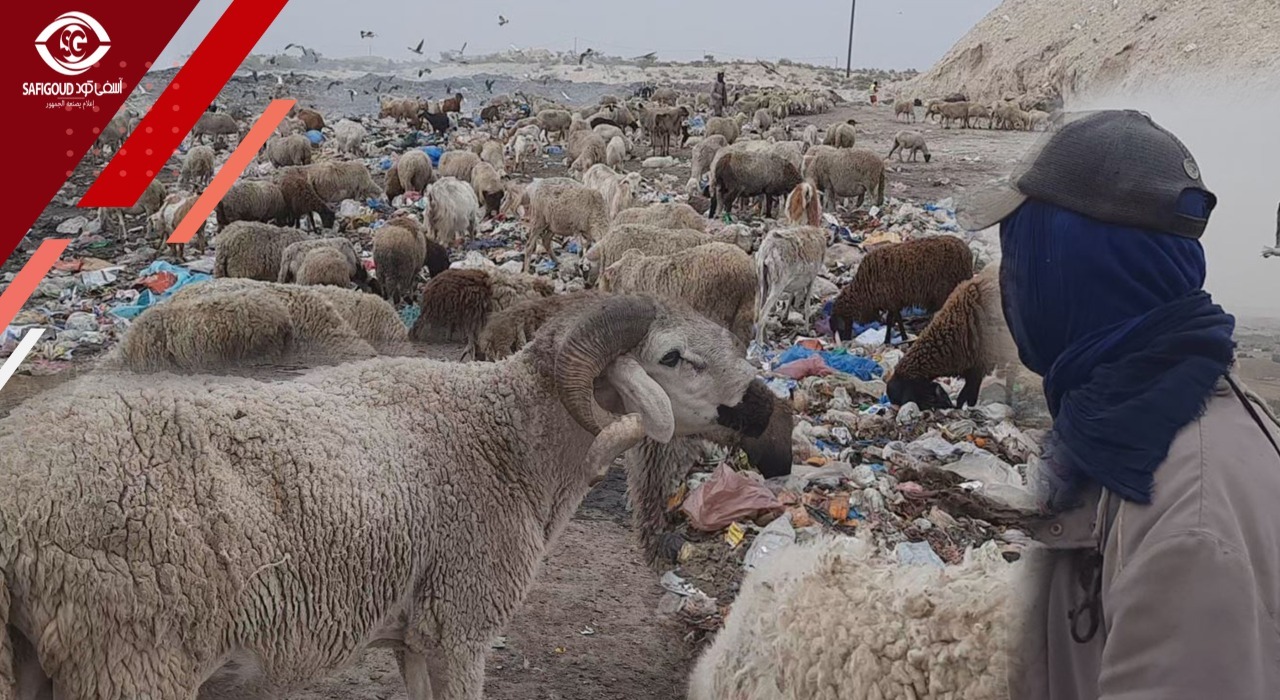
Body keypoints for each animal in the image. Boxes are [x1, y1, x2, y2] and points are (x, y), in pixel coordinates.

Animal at [829, 235, 967, 342]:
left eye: (838, 326)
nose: (845, 340)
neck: (863, 289)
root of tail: (966, 251)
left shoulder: (891, 300)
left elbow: (894, 320)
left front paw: (896, 338)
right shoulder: (892, 301)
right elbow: (893, 320)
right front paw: (892, 339)